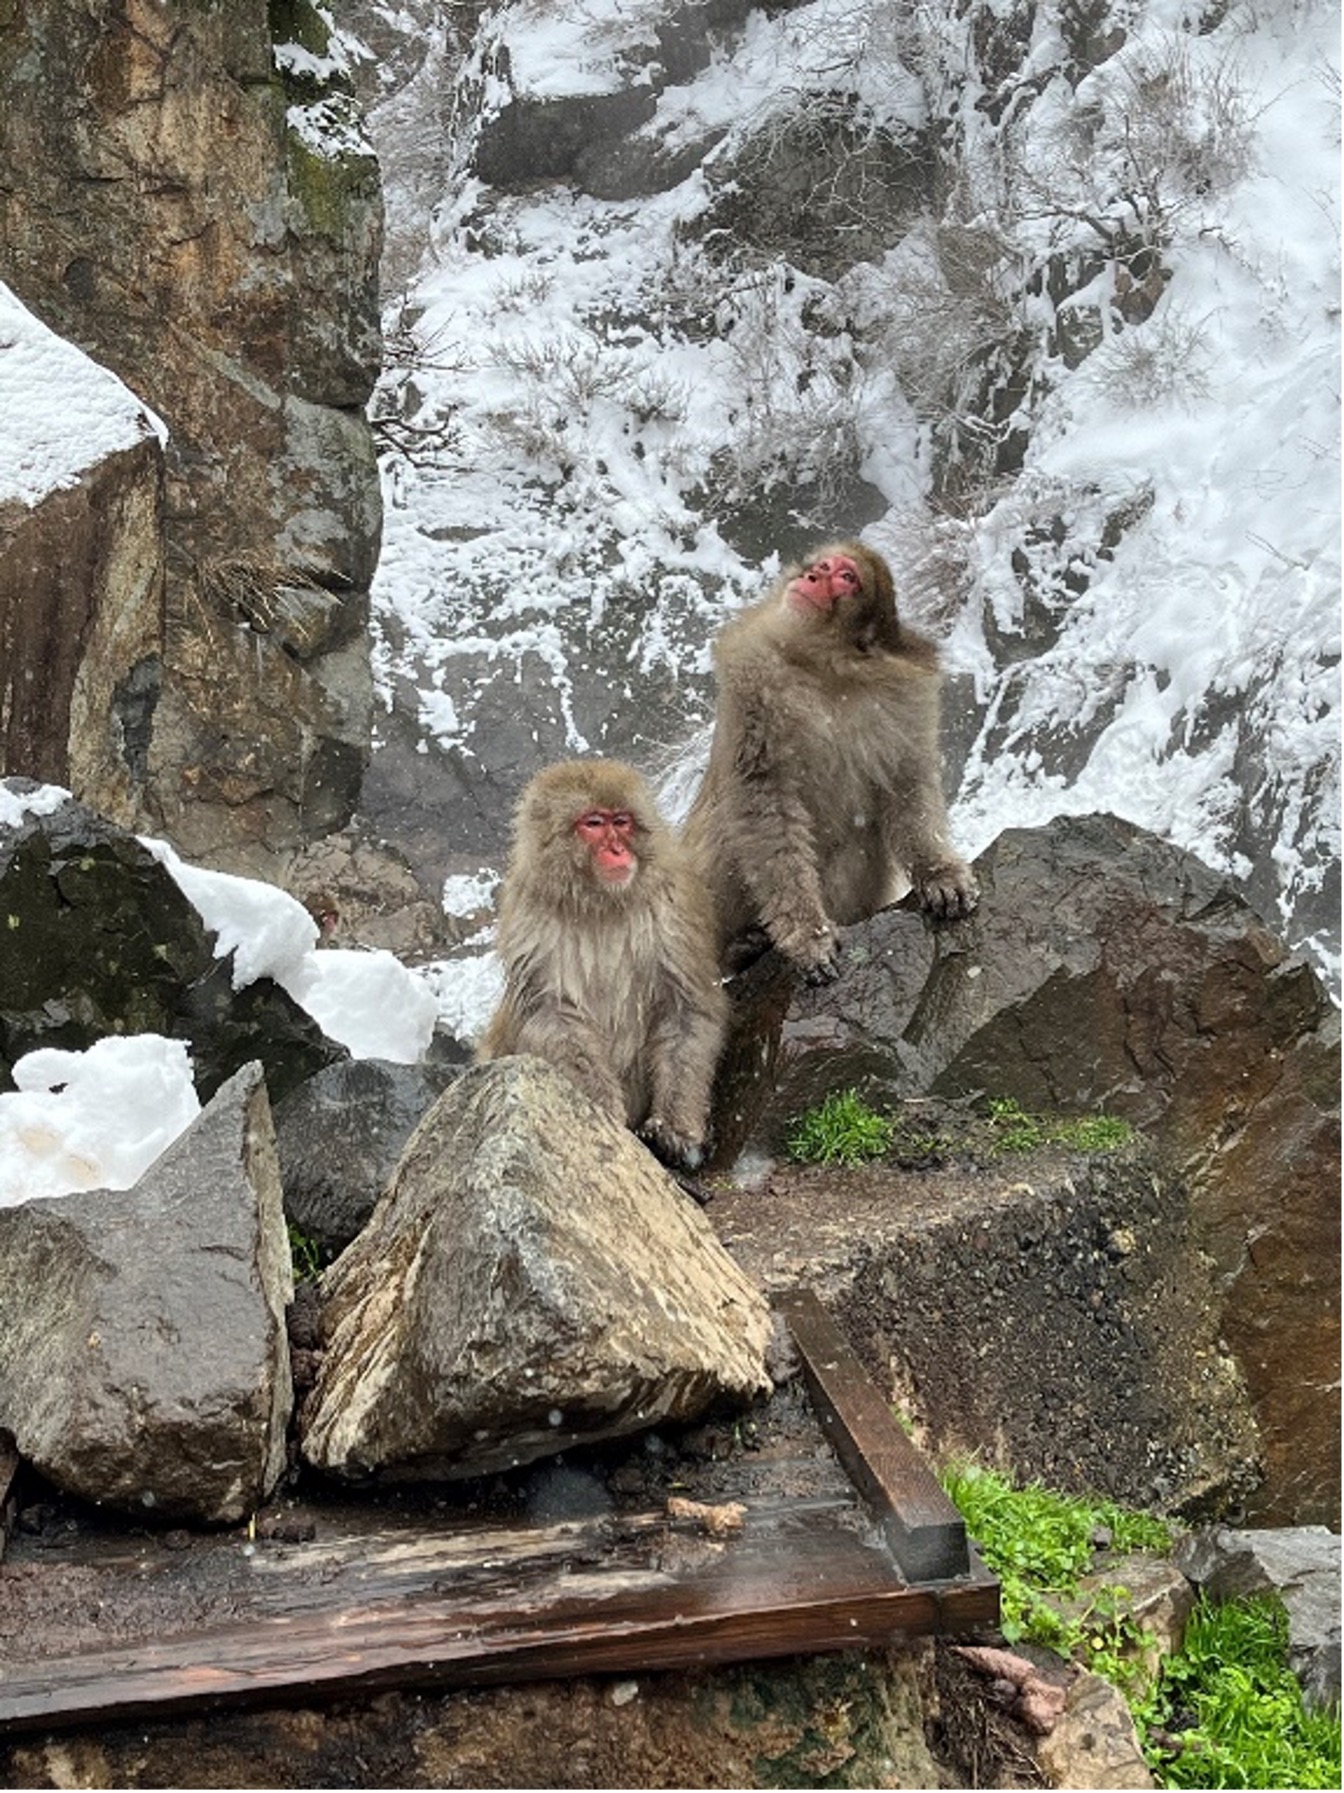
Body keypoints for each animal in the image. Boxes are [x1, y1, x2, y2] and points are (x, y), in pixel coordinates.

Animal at [480, 760, 731, 1169]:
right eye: (594, 823)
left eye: (622, 821)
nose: (617, 849)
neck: (601, 903)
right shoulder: (528, 913)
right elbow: (552, 1015)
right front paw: (603, 1110)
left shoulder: (674, 908)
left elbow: (686, 1009)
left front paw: (676, 1128)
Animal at [684, 537, 982, 989]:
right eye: (822, 566)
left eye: (845, 576)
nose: (811, 576)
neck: (825, 667)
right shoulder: (750, 684)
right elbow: (764, 805)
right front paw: (808, 933)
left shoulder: (906, 692)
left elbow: (906, 780)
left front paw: (937, 871)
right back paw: (741, 948)